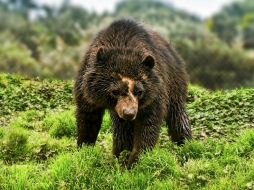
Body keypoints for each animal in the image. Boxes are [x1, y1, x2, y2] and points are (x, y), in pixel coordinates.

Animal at [74, 18, 191, 168]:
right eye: (115, 91)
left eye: (139, 91)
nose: (129, 113)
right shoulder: (86, 90)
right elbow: (88, 117)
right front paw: (84, 150)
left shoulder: (153, 94)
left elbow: (148, 124)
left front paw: (135, 161)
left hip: (174, 80)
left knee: (177, 113)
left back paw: (185, 143)